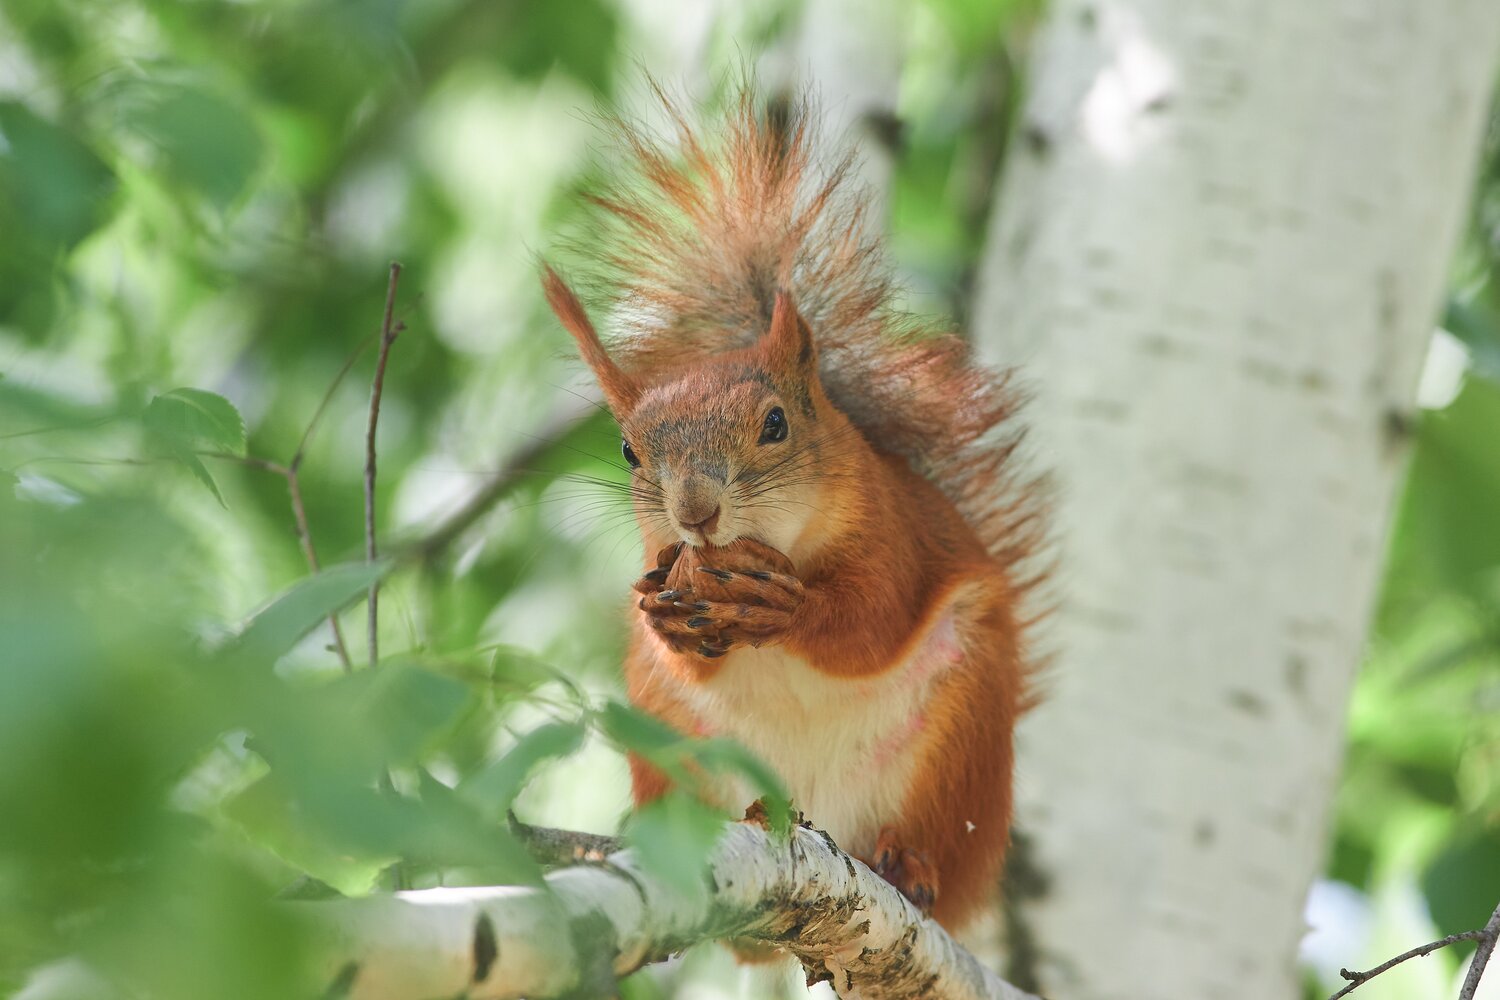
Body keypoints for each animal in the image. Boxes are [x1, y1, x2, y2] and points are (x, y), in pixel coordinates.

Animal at [541, 84, 1047, 931]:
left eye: (775, 425)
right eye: (628, 452)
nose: (696, 513)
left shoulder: (890, 532)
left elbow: (870, 621)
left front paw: (788, 608)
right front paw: (665, 619)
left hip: (962, 740)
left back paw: (911, 866)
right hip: (668, 734)